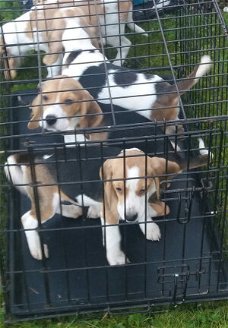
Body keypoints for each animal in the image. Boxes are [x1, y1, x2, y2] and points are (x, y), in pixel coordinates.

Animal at [4, 147, 200, 266]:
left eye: (143, 189)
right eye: (118, 189)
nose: (130, 218)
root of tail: (36, 158)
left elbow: (145, 209)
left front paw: (148, 226)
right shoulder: (112, 211)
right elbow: (114, 237)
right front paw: (116, 258)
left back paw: (74, 210)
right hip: (47, 200)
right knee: (28, 219)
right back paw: (37, 250)